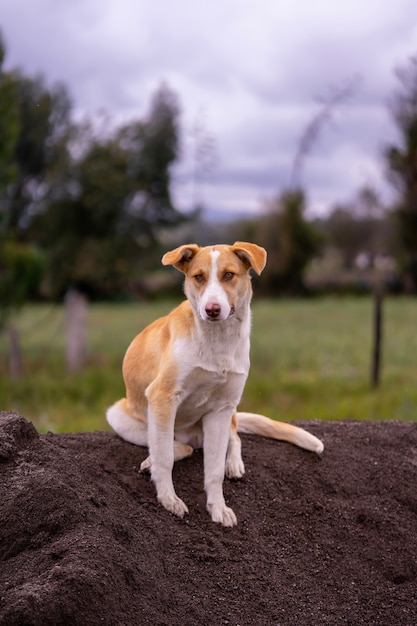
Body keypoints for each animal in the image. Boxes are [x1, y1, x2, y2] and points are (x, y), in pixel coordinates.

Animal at [106, 241, 322, 524]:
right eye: (199, 277)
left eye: (229, 275)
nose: (212, 310)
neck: (217, 339)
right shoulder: (162, 397)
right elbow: (164, 457)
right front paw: (168, 499)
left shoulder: (221, 409)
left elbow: (215, 470)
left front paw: (218, 508)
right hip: (123, 417)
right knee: (177, 447)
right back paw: (151, 461)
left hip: (228, 413)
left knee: (232, 438)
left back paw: (233, 463)